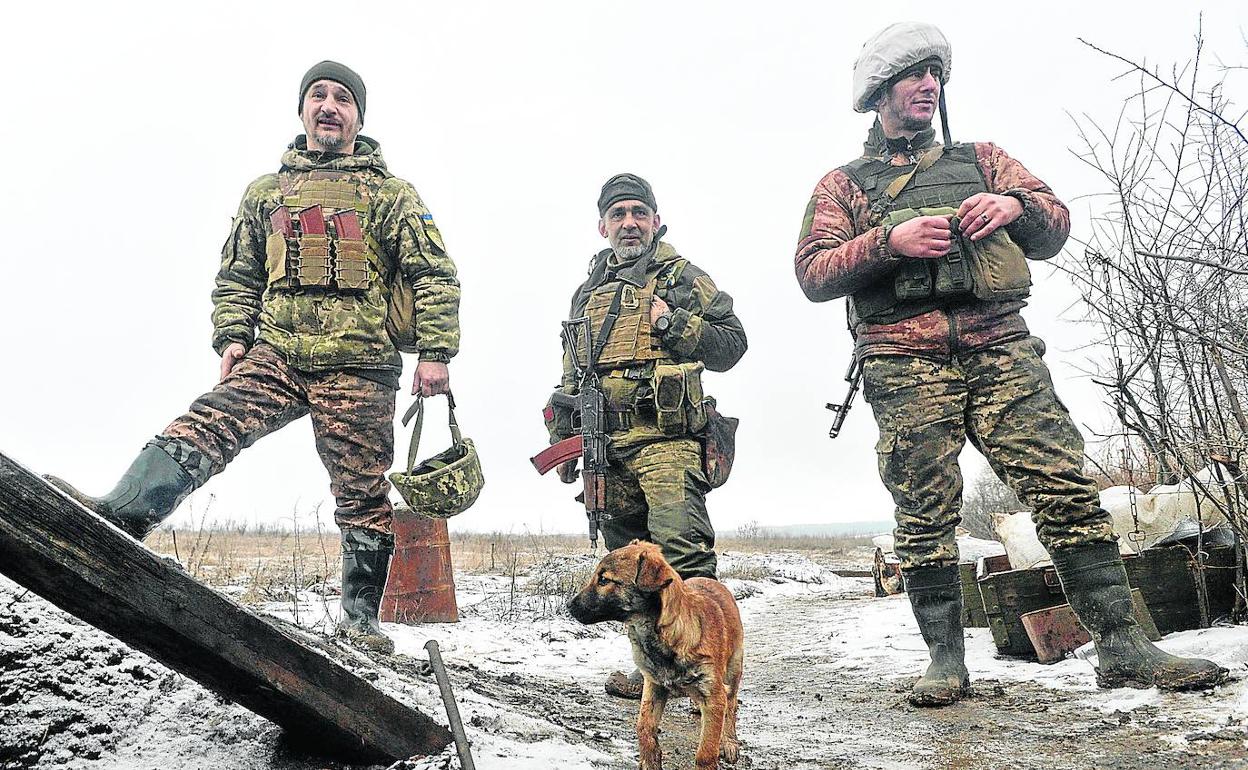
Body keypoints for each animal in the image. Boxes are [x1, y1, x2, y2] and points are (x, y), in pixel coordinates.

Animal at [566, 541, 738, 768]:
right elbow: (644, 727)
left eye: (604, 580)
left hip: (734, 671)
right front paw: (650, 759)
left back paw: (730, 742)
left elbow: (706, 751)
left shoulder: (714, 697)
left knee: (732, 706)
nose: (568, 605)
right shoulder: (654, 686)